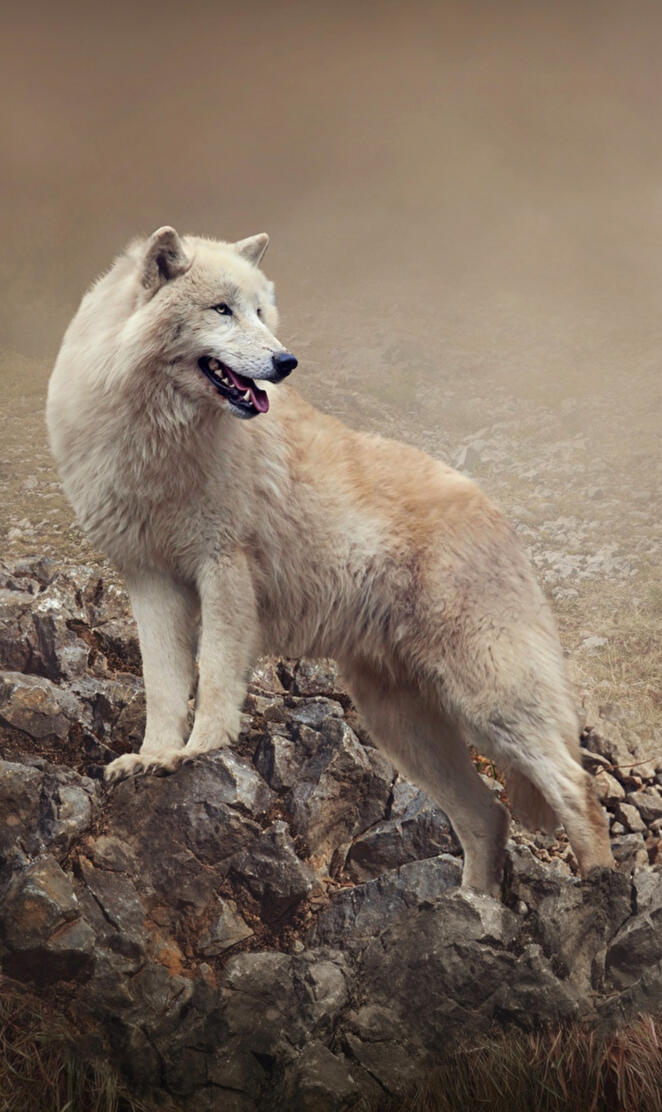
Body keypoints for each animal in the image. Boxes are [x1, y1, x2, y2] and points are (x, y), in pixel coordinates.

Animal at [46, 226, 613, 896]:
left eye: (261, 312)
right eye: (222, 310)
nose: (286, 363)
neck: (159, 439)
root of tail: (498, 514)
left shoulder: (223, 569)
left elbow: (214, 677)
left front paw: (199, 751)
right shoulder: (151, 581)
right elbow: (163, 687)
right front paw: (154, 758)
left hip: (487, 699)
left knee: (577, 788)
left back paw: (600, 891)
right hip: (403, 726)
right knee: (489, 816)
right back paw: (475, 909)